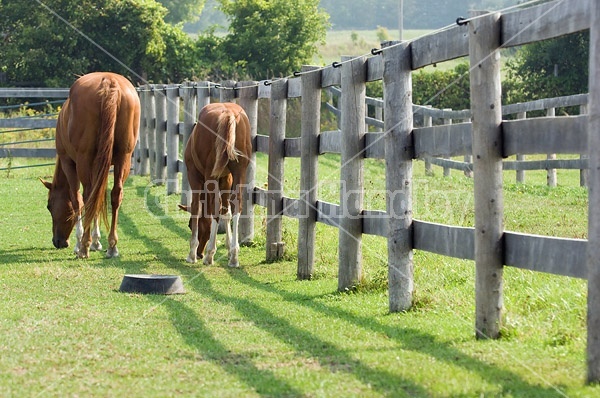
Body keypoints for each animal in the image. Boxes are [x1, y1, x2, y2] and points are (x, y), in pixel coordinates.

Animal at [42, 71, 141, 258]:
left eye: (49, 206)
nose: (58, 242)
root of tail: (109, 82)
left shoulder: (69, 163)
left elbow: (77, 200)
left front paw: (81, 242)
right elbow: (99, 199)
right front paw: (97, 241)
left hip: (84, 160)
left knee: (87, 196)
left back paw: (84, 247)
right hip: (123, 158)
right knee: (115, 194)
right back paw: (112, 246)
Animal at [179, 102, 252, 268]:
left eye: (189, 225)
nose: (199, 253)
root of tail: (228, 113)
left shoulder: (194, 177)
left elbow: (196, 208)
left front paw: (191, 253)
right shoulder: (226, 179)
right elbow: (227, 211)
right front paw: (229, 247)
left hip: (210, 176)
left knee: (215, 208)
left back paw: (209, 254)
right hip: (239, 172)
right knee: (236, 205)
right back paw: (234, 257)